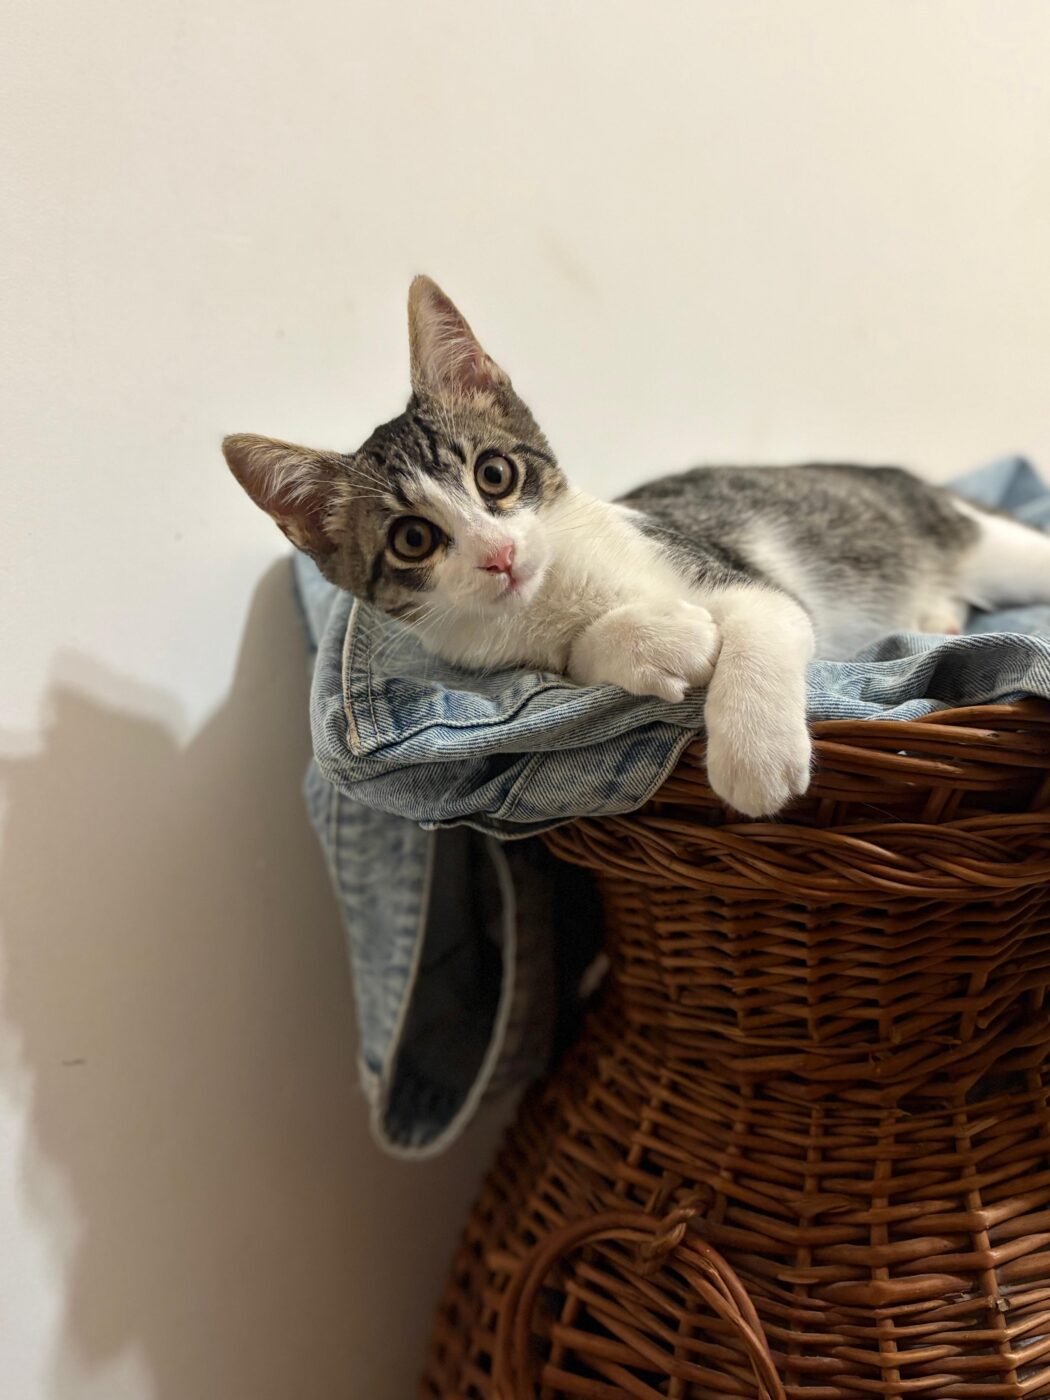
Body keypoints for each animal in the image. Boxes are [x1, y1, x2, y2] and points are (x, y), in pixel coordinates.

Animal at [223, 276, 1050, 817]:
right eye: (414, 539)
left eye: (495, 475)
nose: (498, 555)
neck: (560, 589)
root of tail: (908, 477)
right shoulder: (511, 657)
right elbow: (577, 662)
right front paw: (655, 640)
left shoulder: (737, 573)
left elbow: (764, 625)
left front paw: (753, 755)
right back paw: (938, 617)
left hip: (982, 543)